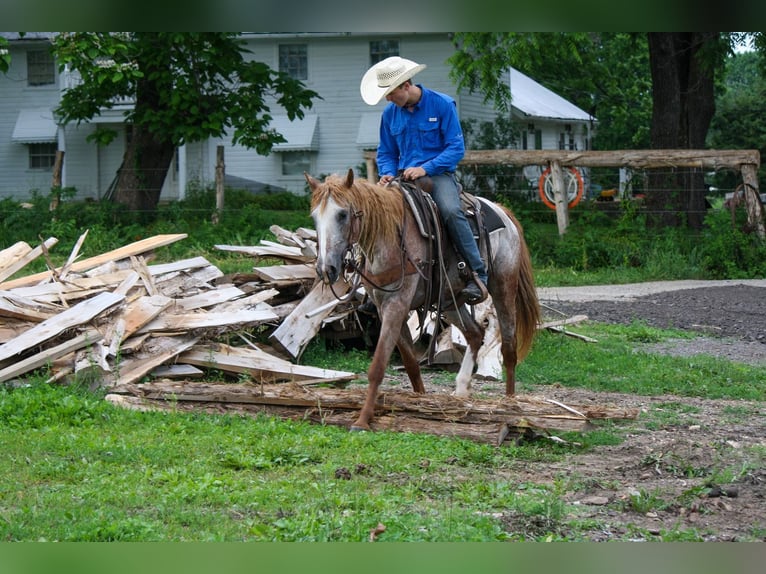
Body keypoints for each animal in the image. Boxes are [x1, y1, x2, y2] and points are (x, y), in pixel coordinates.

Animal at [305, 168, 540, 431]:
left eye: (343, 214)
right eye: (314, 217)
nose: (326, 268)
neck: (389, 238)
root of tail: (502, 212)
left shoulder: (396, 306)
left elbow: (378, 366)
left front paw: (363, 420)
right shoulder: (385, 309)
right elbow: (411, 365)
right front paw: (419, 402)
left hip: (503, 288)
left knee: (508, 348)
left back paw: (509, 404)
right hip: (451, 301)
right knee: (475, 334)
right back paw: (461, 388)